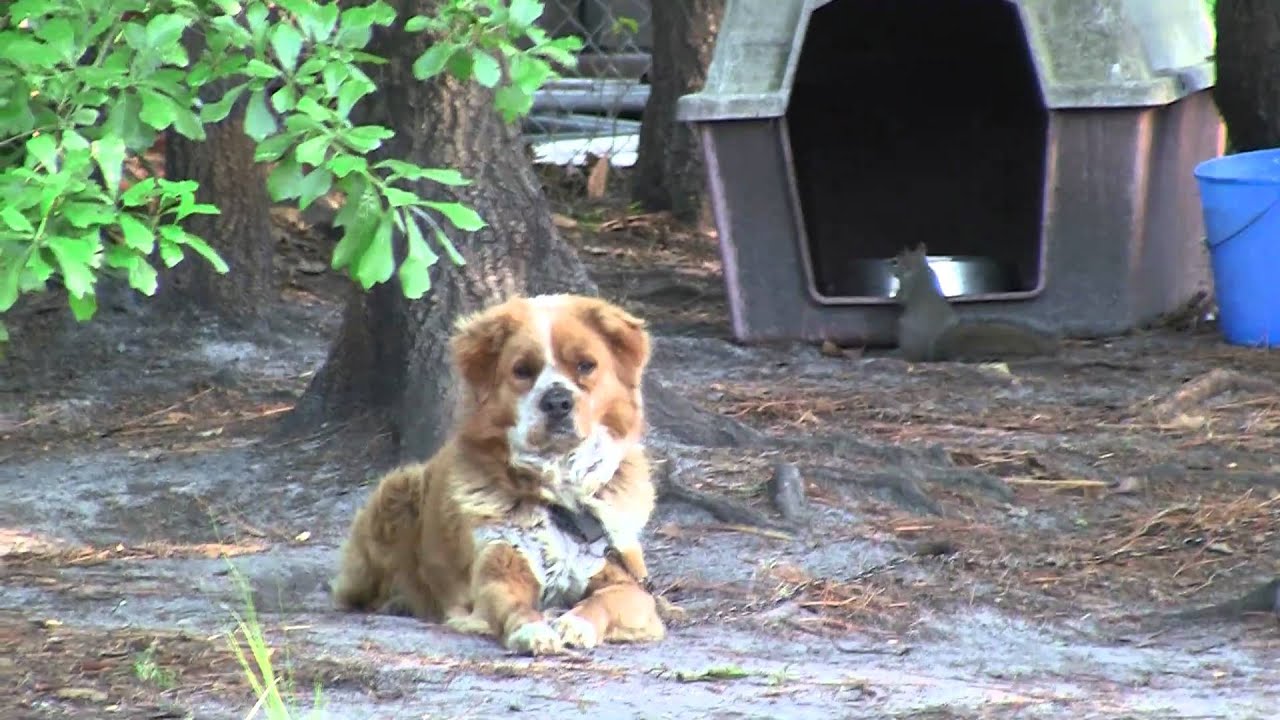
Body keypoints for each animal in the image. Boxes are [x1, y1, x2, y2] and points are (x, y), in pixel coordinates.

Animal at [330, 293, 665, 655]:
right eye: (522, 371)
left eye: (585, 365)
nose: (557, 402)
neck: (558, 495)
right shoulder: (499, 571)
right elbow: (515, 606)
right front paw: (533, 630)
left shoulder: (627, 580)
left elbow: (606, 599)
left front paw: (575, 623)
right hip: (397, 489)